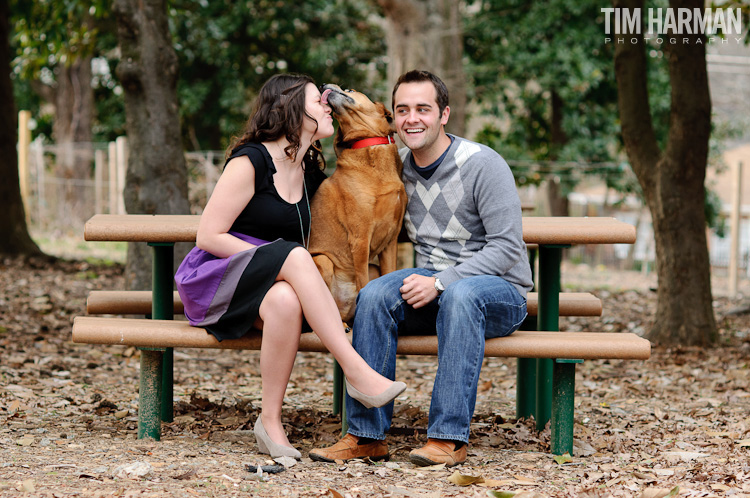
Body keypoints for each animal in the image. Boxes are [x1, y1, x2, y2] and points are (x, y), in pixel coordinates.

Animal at [308, 84, 408, 322]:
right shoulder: (360, 238)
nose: (323, 86)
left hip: (373, 268)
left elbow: (388, 275)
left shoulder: (391, 241)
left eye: (350, 89)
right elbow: (364, 283)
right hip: (323, 261)